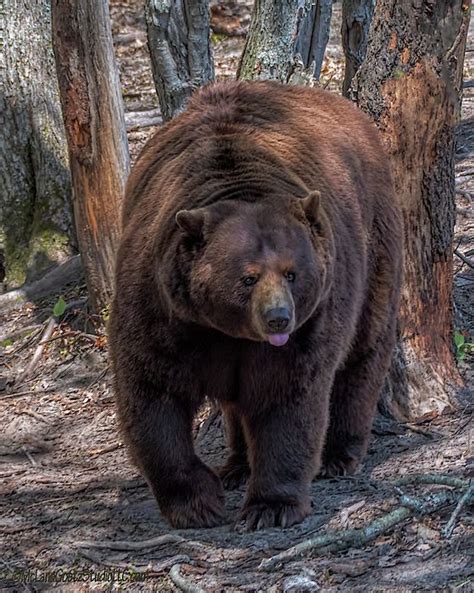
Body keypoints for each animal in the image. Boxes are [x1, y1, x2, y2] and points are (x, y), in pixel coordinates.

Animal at [108, 81, 404, 528]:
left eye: (291, 272)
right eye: (247, 277)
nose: (278, 318)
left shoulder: (310, 323)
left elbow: (287, 397)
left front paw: (271, 506)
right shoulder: (162, 310)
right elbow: (153, 391)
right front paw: (197, 503)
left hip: (373, 242)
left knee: (364, 347)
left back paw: (339, 453)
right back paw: (236, 465)